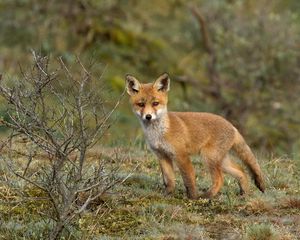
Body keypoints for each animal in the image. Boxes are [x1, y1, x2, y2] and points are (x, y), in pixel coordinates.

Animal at [124, 72, 264, 199]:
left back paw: (206, 196)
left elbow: (189, 180)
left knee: (220, 179)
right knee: (241, 171)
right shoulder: (162, 155)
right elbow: (169, 180)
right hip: (221, 161)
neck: (160, 133)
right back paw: (244, 194)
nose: (148, 116)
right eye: (141, 104)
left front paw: (192, 198)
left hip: (209, 157)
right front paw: (167, 195)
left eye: (155, 103)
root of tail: (232, 126)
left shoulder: (182, 156)